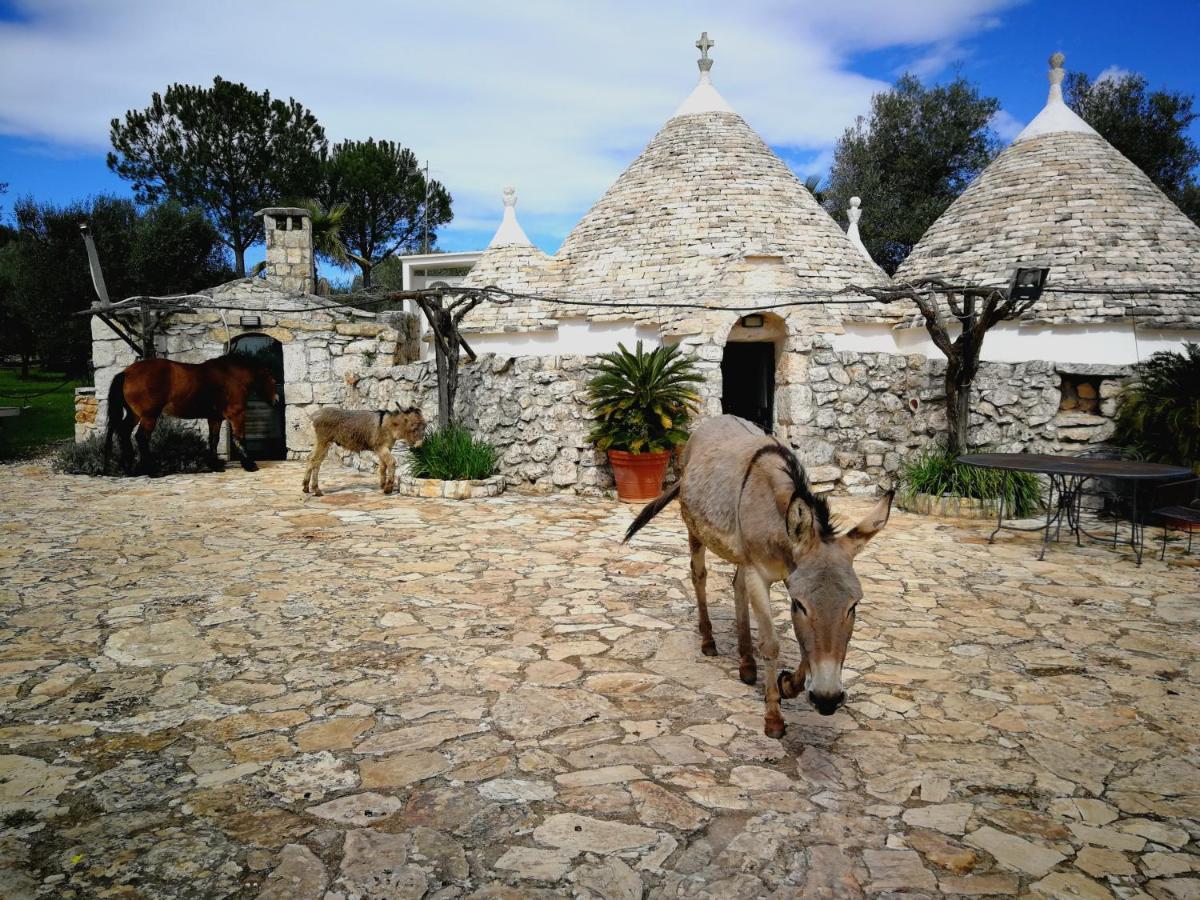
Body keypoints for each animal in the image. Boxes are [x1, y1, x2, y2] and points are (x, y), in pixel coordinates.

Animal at [102, 355, 278, 475]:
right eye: (273, 380)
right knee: (141, 438)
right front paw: (249, 464)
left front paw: (214, 464)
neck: (231, 376)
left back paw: (129, 466)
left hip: (135, 415)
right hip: (149, 416)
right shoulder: (236, 415)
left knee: (124, 431)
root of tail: (126, 373)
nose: (276, 401)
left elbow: (214, 440)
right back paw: (152, 470)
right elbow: (239, 439)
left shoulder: (215, 418)